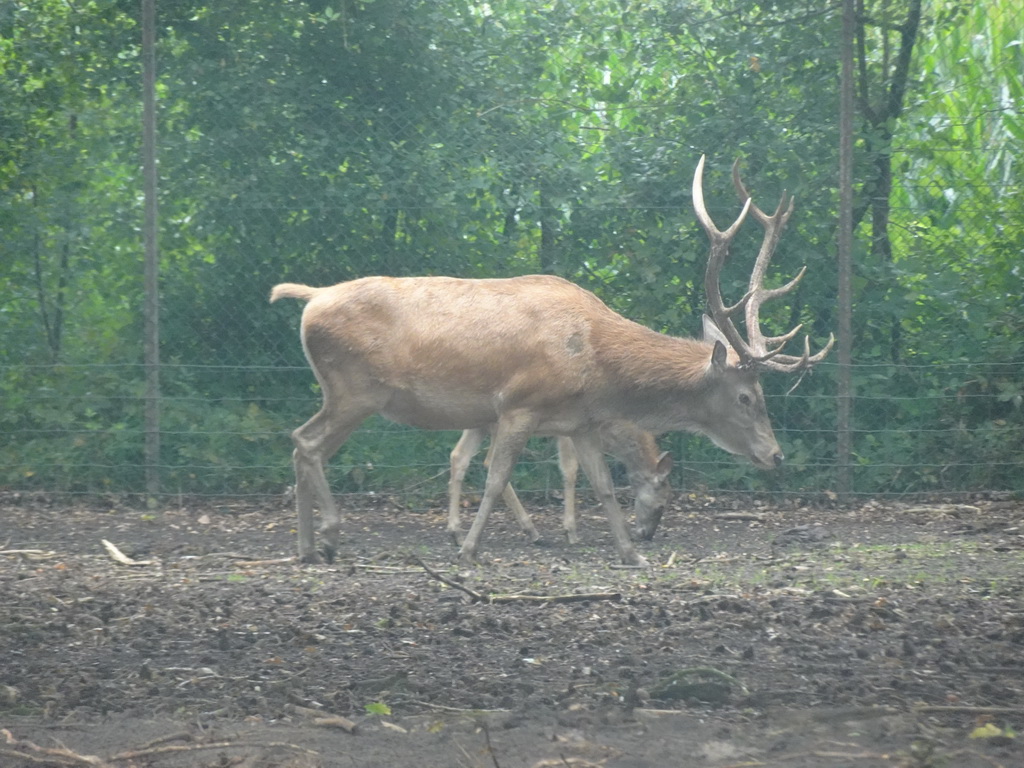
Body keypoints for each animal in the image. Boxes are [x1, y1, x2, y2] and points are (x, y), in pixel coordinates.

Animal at [446, 428, 671, 548]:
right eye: (661, 505)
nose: (647, 535)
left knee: (460, 455)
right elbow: (570, 468)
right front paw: (570, 531)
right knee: (487, 460)